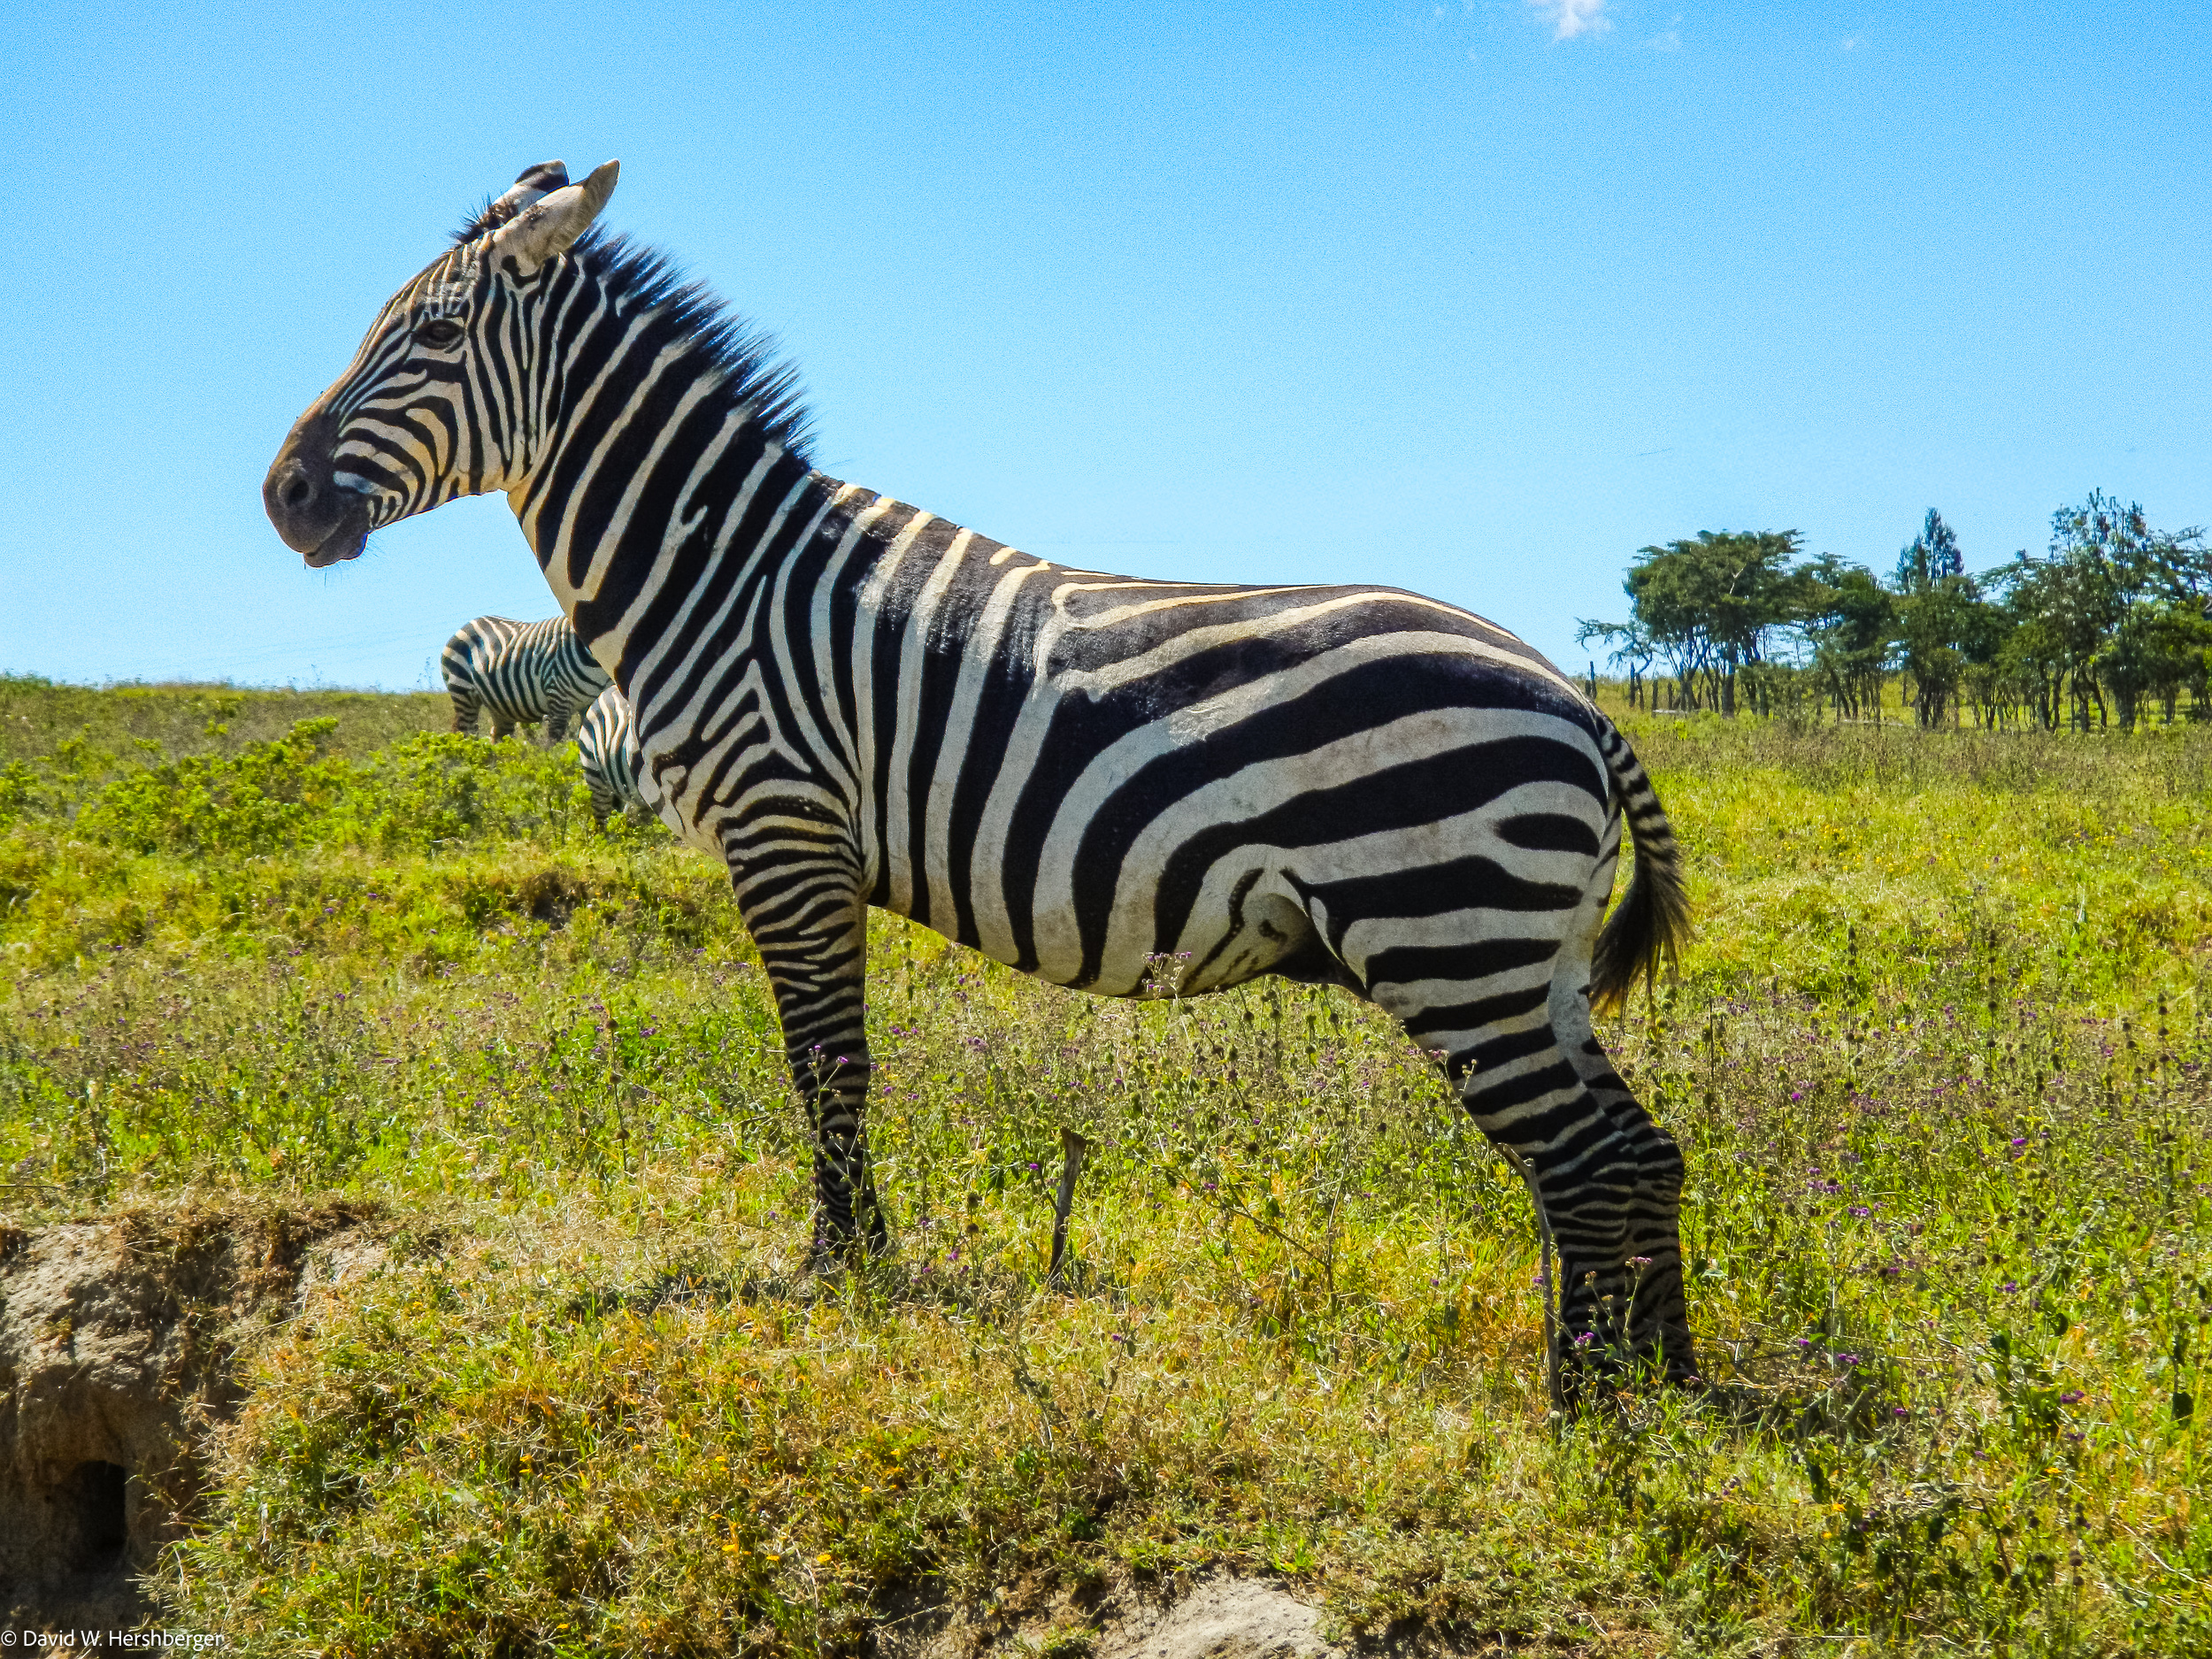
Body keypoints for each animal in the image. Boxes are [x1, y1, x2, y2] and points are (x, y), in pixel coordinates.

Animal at [441, 613, 611, 742]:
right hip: (464, 695)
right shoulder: (558, 697)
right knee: (463, 734)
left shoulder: (592, 702)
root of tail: (469, 623)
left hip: (500, 706)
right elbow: (553, 745)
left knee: (500, 738)